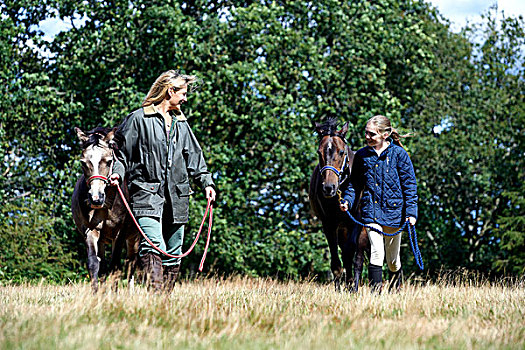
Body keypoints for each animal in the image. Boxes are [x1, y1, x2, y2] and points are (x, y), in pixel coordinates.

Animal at [70, 127, 139, 292]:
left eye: (108, 161)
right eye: (83, 163)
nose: (96, 198)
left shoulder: (119, 235)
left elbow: (115, 266)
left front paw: (113, 294)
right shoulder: (90, 230)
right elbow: (94, 264)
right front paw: (96, 294)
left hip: (134, 238)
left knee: (131, 263)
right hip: (102, 240)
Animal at [308, 119, 368, 292]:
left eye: (341, 152)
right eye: (319, 152)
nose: (329, 187)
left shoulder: (356, 222)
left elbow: (350, 253)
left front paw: (351, 285)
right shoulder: (329, 224)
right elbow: (336, 259)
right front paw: (339, 288)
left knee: (358, 257)